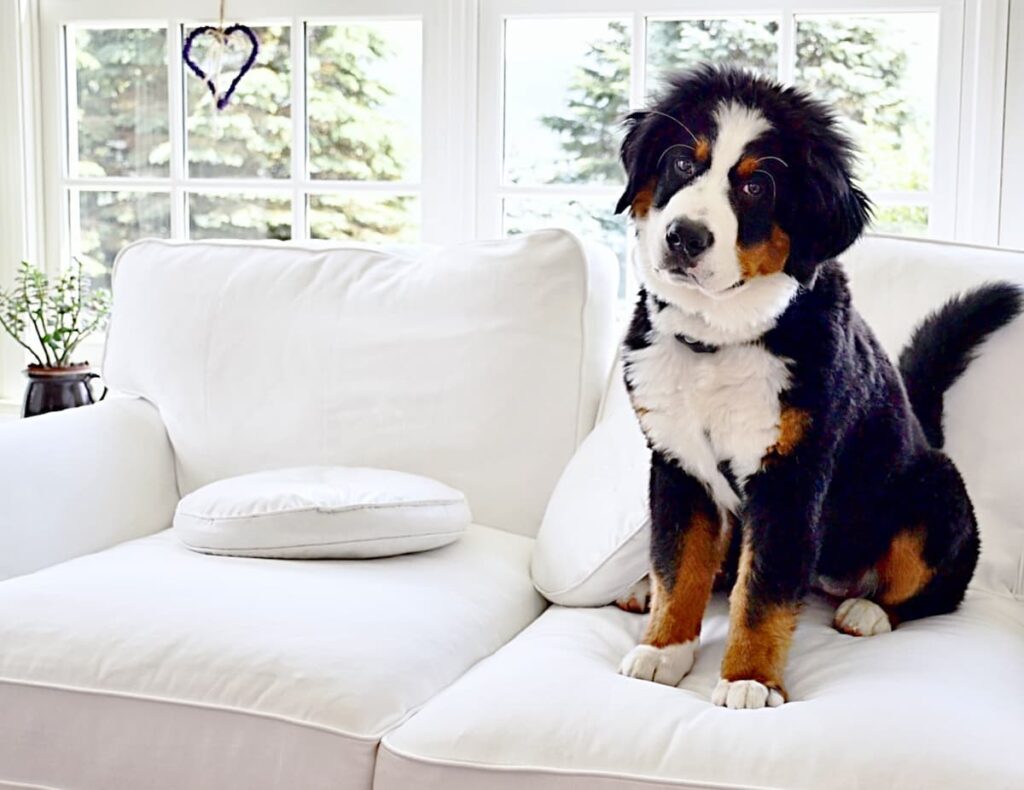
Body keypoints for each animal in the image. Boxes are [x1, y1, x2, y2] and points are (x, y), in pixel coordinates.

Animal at [610, 64, 1019, 709]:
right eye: (680, 162)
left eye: (756, 187)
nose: (684, 236)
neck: (718, 342)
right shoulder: (678, 465)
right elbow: (679, 564)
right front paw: (664, 648)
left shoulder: (792, 478)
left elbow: (764, 591)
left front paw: (748, 679)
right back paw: (643, 588)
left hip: (934, 494)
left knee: (933, 589)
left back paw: (868, 612)